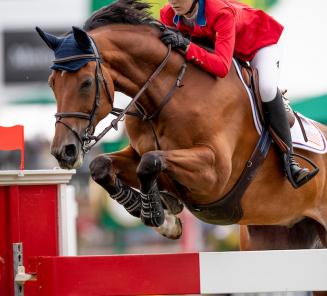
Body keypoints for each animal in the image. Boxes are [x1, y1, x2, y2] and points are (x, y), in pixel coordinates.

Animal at [36, 0, 327, 256]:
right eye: (52, 83)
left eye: (86, 82)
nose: (64, 152)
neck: (167, 94)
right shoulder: (138, 154)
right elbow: (103, 166)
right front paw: (159, 211)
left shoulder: (214, 174)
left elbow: (151, 162)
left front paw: (159, 215)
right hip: (273, 234)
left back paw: (295, 170)